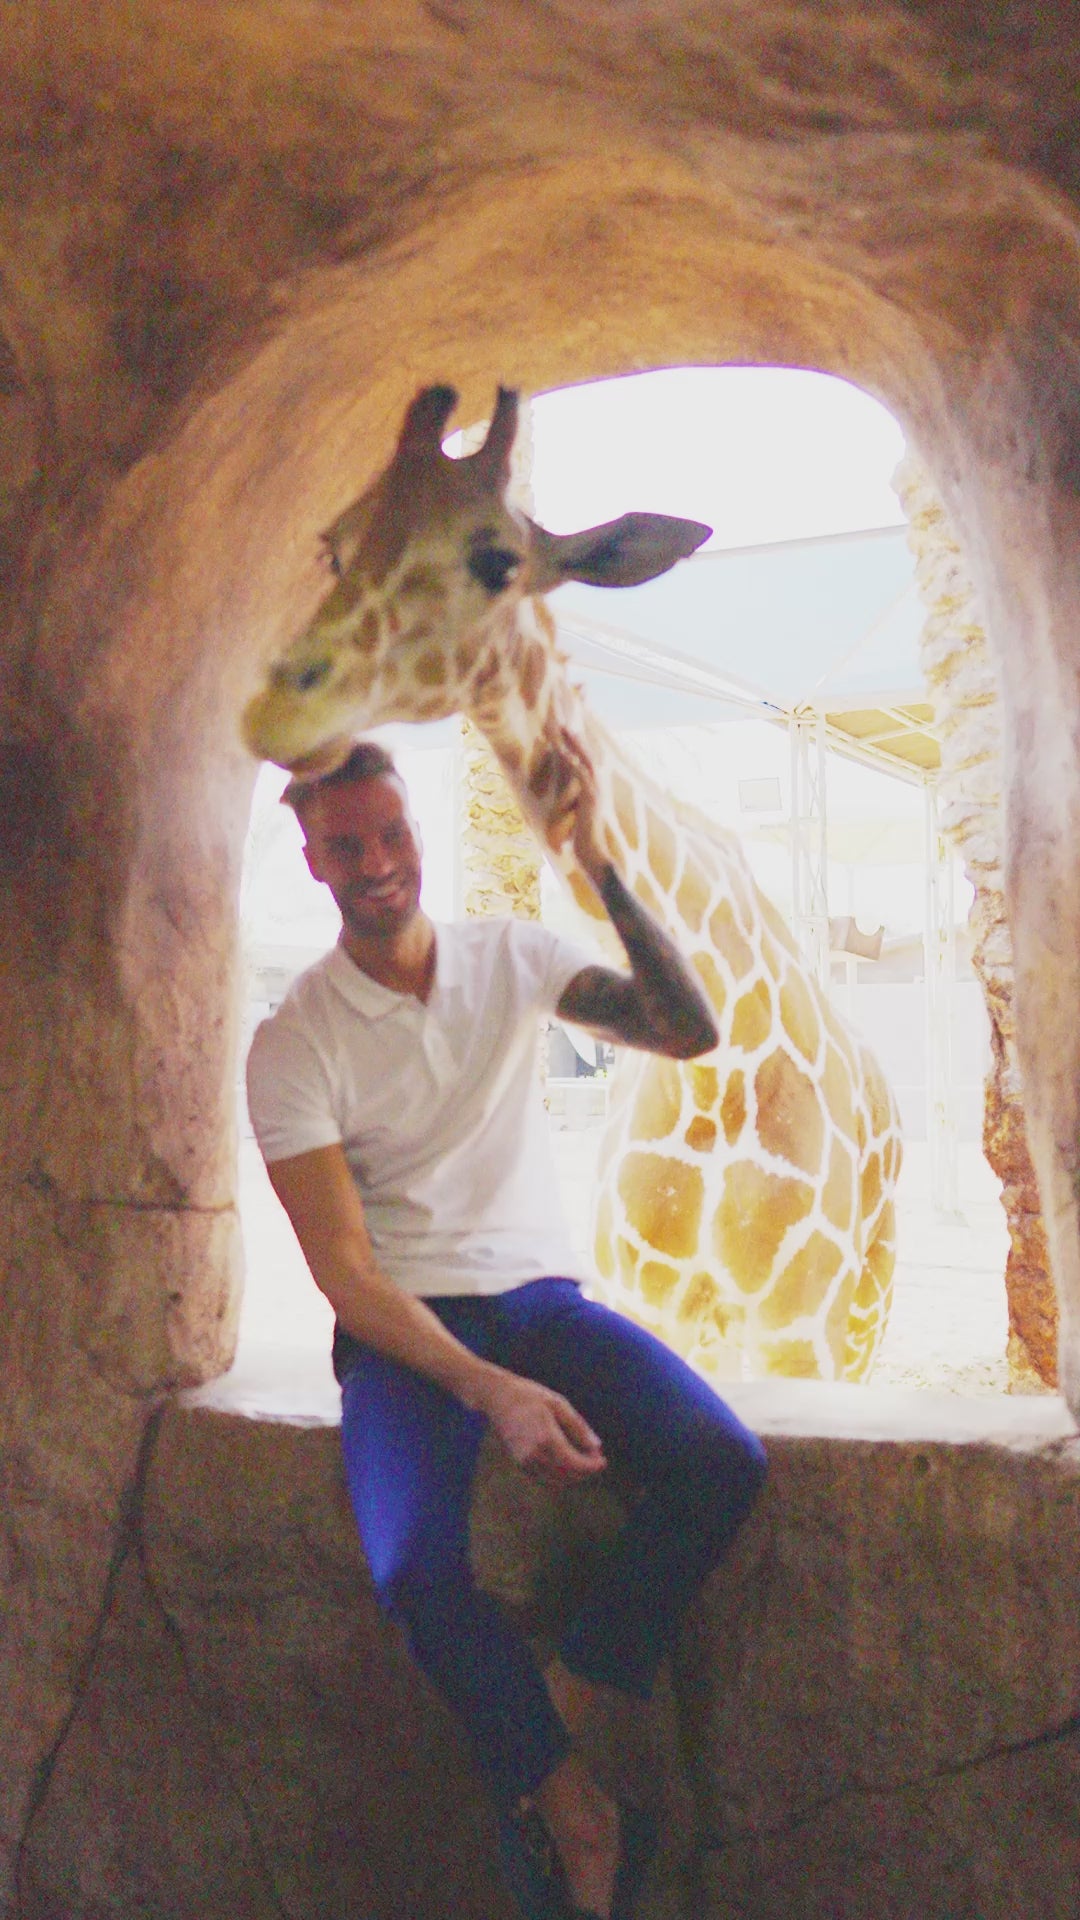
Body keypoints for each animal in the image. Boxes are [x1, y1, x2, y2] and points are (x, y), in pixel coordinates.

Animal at [242, 383, 902, 1382]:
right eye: (333, 546)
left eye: (497, 560)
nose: (278, 705)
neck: (728, 1067)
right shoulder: (649, 1300)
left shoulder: (801, 1334)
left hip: (864, 1316)